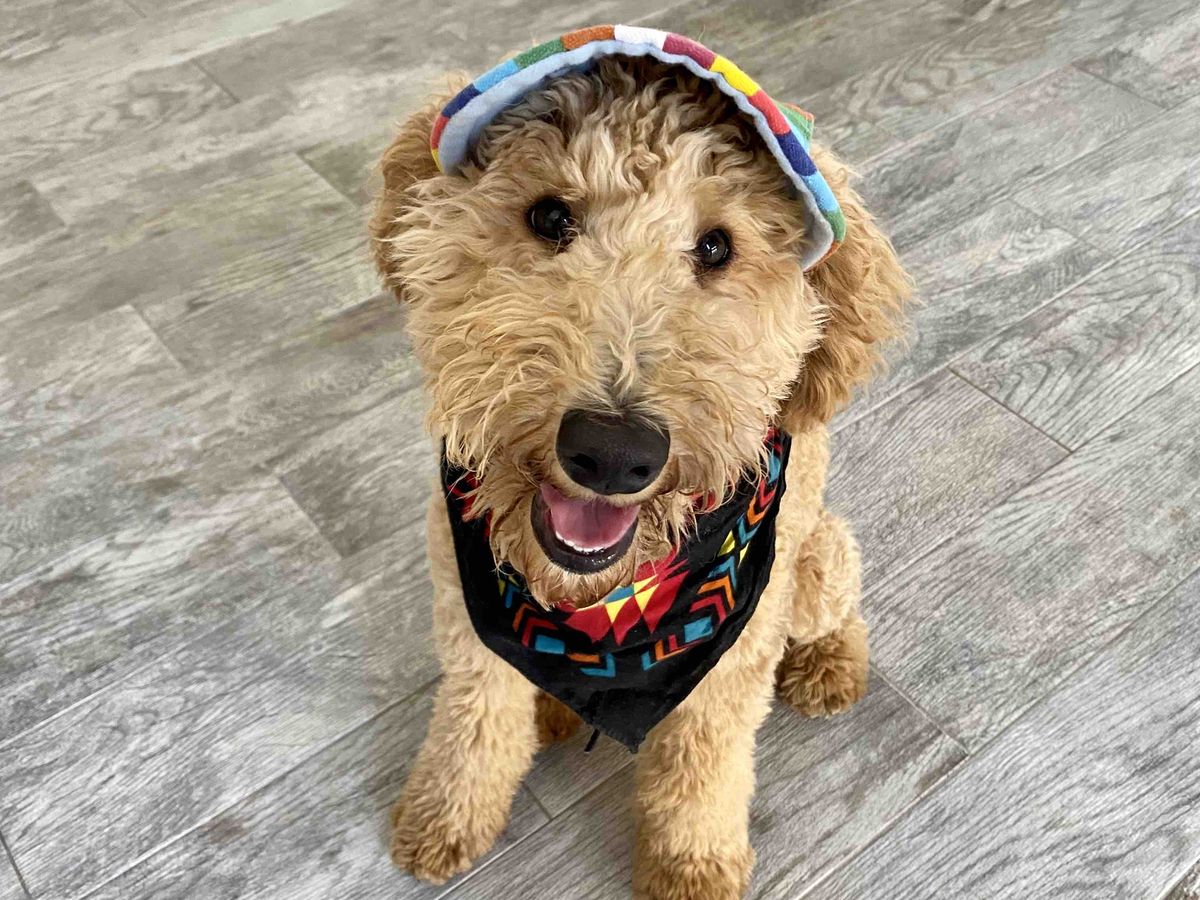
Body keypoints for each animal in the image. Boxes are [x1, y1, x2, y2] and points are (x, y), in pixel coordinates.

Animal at [370, 25, 912, 899]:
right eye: (549, 215)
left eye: (718, 247)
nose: (613, 451)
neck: (599, 612)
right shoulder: (463, 616)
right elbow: (473, 724)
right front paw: (444, 819)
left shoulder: (730, 668)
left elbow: (702, 770)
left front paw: (692, 866)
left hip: (815, 560)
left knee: (840, 605)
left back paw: (832, 665)